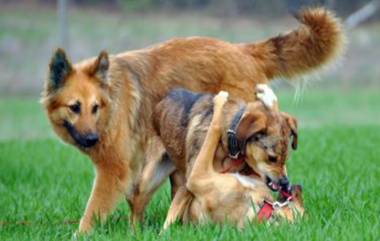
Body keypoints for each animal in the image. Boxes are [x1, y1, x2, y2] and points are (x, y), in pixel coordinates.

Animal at [41, 8, 344, 233]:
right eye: (74, 107)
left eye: (94, 107)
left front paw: (79, 234)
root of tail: (243, 50)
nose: (91, 139)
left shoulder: (113, 170)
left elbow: (91, 211)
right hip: (161, 171)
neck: (111, 102)